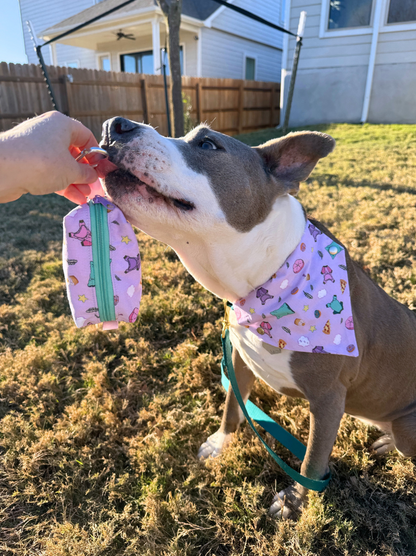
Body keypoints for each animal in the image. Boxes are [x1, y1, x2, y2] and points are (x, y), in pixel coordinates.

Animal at [98, 116, 416, 516]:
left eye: (207, 144)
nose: (115, 125)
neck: (267, 278)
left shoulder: (328, 400)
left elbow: (312, 461)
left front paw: (295, 503)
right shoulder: (239, 359)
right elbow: (233, 406)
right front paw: (220, 443)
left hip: (407, 427)